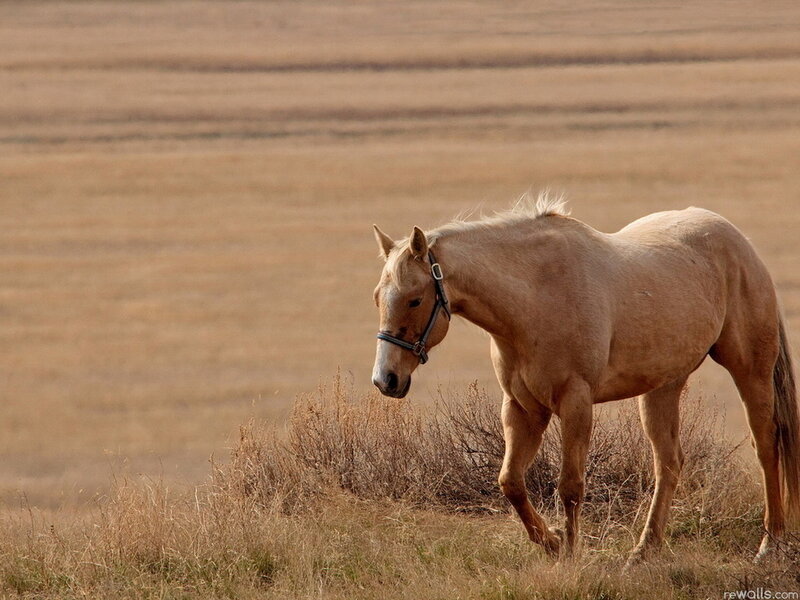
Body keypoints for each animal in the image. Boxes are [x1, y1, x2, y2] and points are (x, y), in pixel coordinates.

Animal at [371, 194, 799, 565]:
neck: (536, 297)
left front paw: (572, 553)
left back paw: (770, 543)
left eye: (414, 298)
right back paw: (644, 551)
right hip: (662, 388)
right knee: (669, 463)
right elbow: (511, 482)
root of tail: (739, 243)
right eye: (378, 296)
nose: (386, 379)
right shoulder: (524, 408)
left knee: (767, 448)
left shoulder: (575, 402)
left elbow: (571, 486)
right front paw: (552, 542)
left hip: (750, 372)